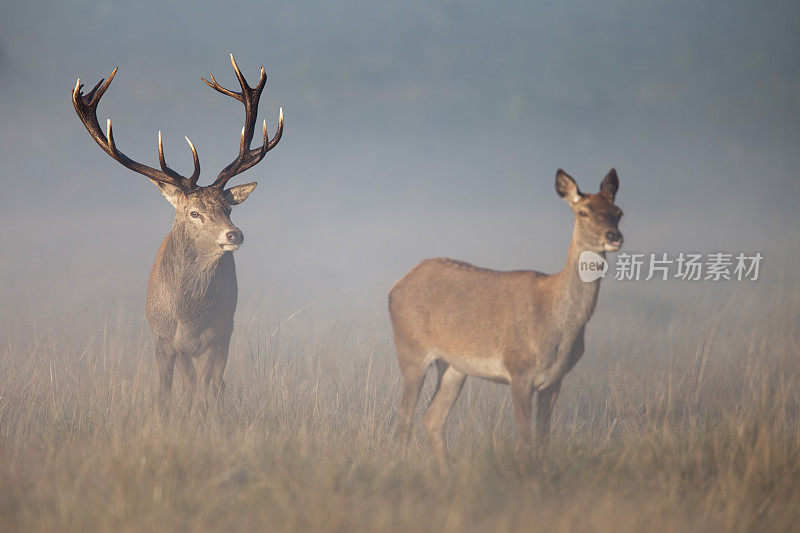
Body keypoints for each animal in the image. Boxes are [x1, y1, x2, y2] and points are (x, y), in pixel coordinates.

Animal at [72, 55, 284, 408]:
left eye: (228, 209)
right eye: (194, 212)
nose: (234, 235)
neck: (189, 318)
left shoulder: (220, 335)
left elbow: (205, 390)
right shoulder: (164, 339)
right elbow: (170, 391)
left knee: (214, 384)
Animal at [390, 168, 620, 460]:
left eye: (618, 211)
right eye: (583, 211)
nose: (613, 236)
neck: (559, 328)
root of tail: (395, 287)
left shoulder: (555, 379)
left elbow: (542, 438)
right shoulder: (519, 370)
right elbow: (524, 438)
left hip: (454, 367)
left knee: (432, 417)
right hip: (411, 351)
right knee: (405, 417)